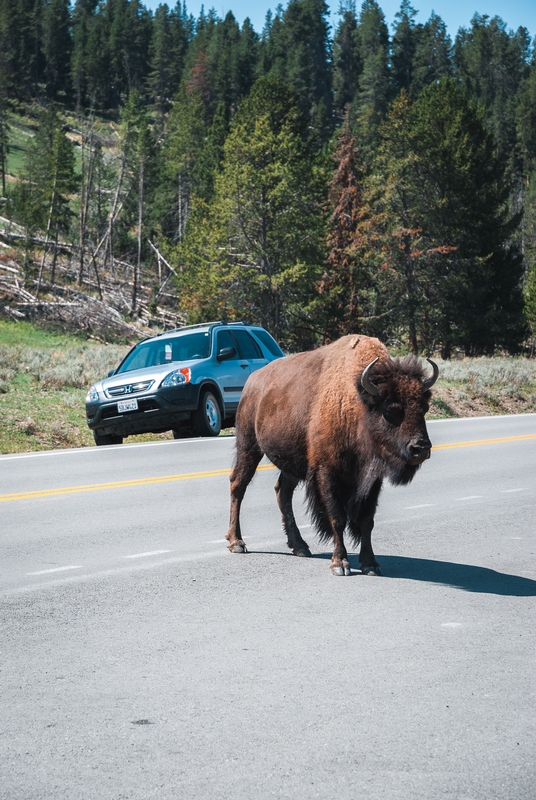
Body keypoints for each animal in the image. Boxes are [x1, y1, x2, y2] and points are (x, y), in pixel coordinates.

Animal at [226, 334, 440, 580]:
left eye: (423, 408)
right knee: (238, 485)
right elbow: (337, 518)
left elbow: (367, 521)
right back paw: (237, 542)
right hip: (249, 446)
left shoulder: (372, 479)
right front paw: (340, 564)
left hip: (292, 464)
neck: (357, 403)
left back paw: (300, 546)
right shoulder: (327, 473)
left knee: (282, 492)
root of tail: (252, 382)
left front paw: (371, 564)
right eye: (391, 409)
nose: (421, 448)